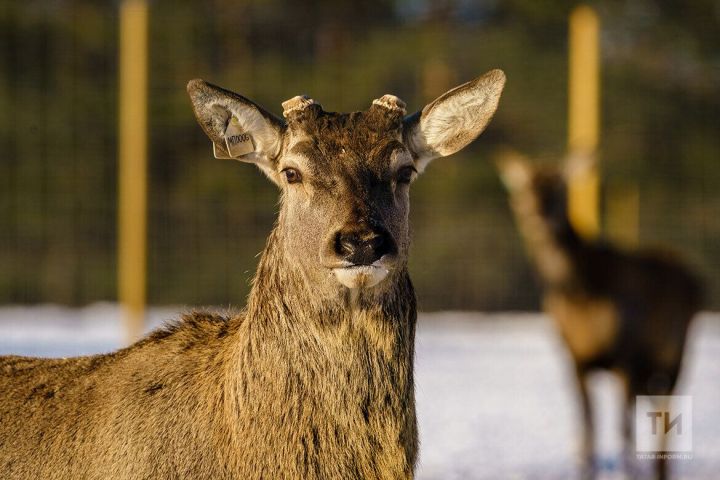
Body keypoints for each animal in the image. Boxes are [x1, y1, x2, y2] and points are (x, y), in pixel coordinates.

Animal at [498, 151, 700, 480]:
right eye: (524, 189)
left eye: (559, 188)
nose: (535, 217)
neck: (582, 295)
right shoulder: (574, 357)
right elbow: (587, 428)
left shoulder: (627, 354)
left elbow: (623, 430)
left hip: (675, 354)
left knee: (666, 419)